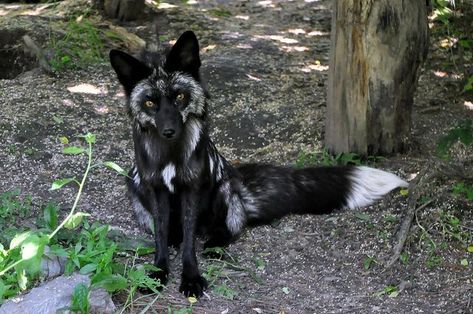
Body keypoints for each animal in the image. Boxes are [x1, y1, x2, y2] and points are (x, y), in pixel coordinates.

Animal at [109, 30, 408, 298]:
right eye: (150, 102)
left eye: (180, 97)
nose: (169, 131)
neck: (171, 155)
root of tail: (241, 185)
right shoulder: (156, 189)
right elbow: (160, 236)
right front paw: (159, 272)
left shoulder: (192, 190)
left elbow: (190, 242)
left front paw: (191, 277)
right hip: (137, 190)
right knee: (171, 232)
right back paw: (176, 238)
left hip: (224, 189)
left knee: (227, 228)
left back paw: (215, 243)